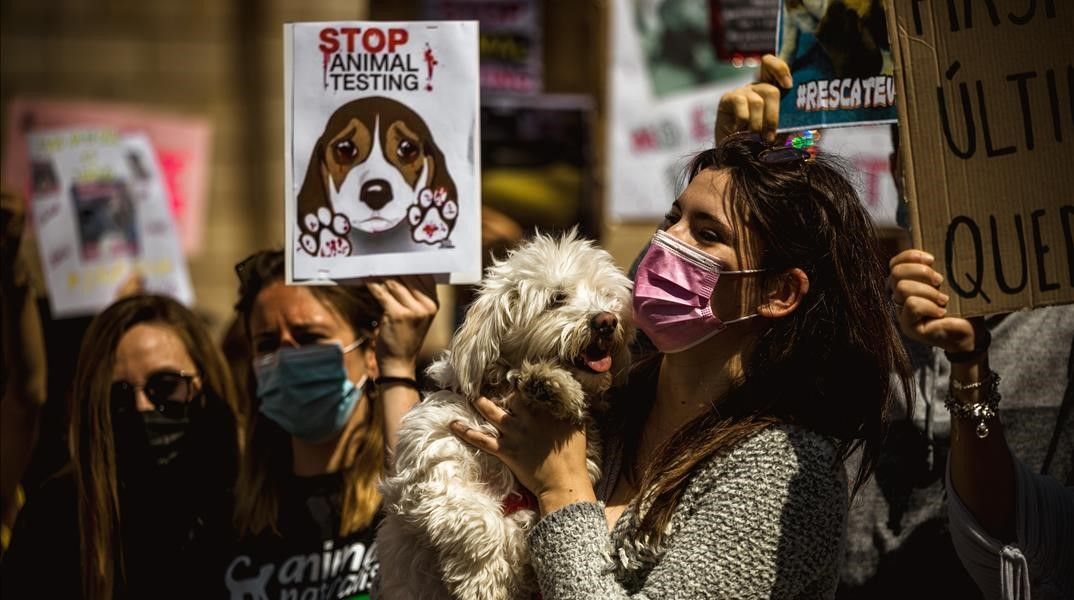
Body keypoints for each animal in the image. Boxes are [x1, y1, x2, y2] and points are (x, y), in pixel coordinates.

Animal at [378, 230, 631, 600]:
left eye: (608, 296)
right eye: (557, 298)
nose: (607, 320)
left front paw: (552, 385)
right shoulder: (434, 466)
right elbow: (479, 520)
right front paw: (484, 582)